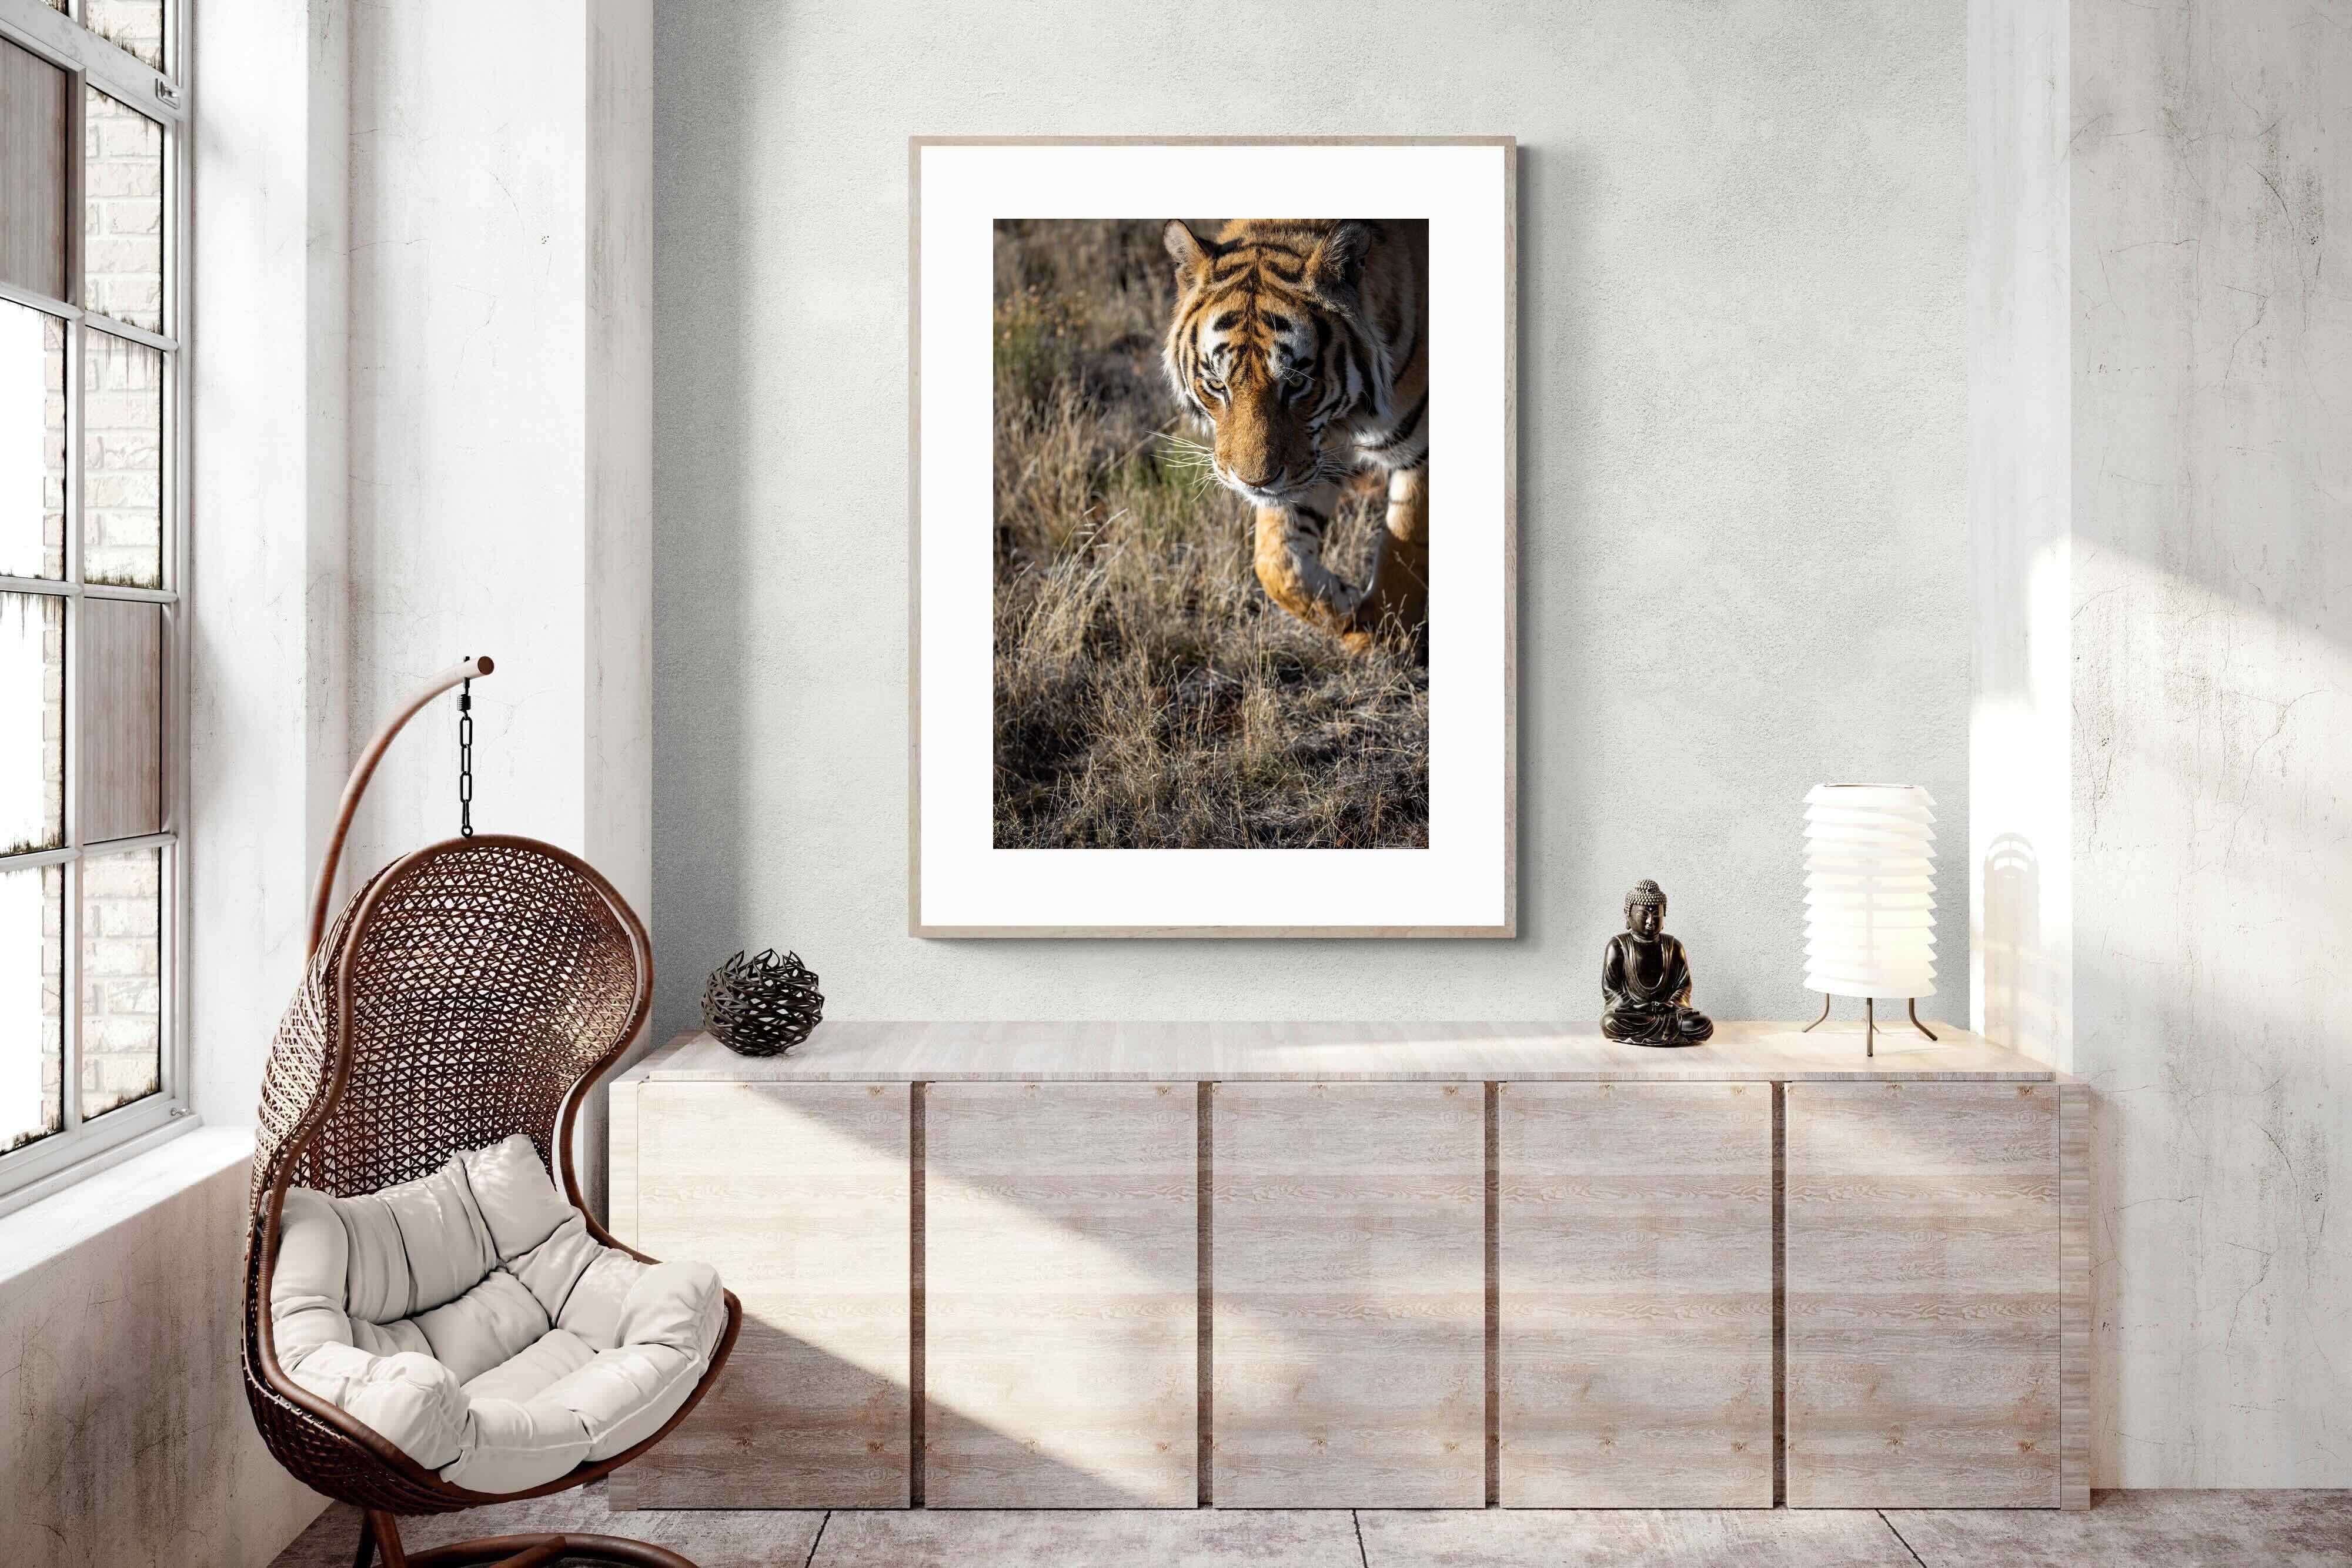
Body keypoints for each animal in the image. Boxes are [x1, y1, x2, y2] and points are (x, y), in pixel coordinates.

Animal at [1161, 218, 1428, 649]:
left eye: (1297, 382)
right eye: (1218, 385)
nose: (1253, 482)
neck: (1345, 418)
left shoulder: (1419, 453)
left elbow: (1403, 546)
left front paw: (1385, 638)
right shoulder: (1311, 461)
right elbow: (1276, 563)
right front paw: (1346, 606)